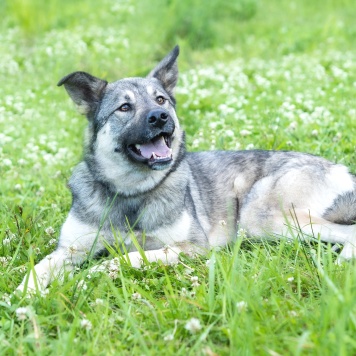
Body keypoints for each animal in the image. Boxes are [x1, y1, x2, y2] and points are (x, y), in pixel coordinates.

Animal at [17, 46, 356, 294]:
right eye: (124, 107)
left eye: (161, 99)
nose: (160, 116)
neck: (131, 191)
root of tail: (340, 168)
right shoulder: (69, 249)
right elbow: (39, 268)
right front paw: (24, 295)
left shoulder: (192, 247)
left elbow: (130, 256)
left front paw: (96, 273)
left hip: (261, 216)